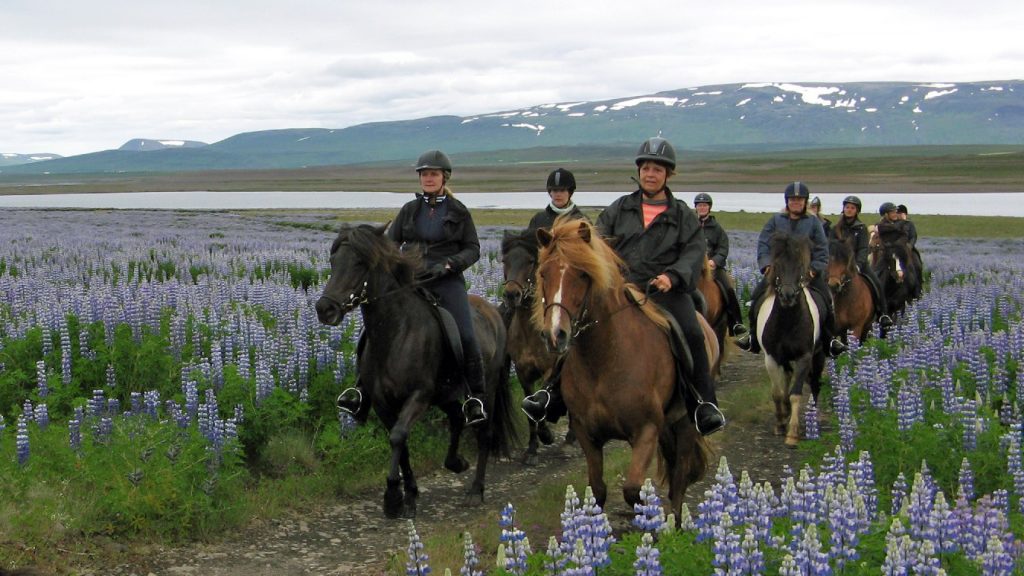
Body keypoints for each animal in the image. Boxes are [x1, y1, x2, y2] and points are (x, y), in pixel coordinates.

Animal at [311, 220, 516, 516]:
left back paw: (475, 490)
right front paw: (409, 494)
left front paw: (392, 496)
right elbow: (401, 442)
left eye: (360, 262)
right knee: (457, 418)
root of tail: (494, 312)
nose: (324, 309)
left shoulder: (418, 396)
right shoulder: (382, 403)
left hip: (485, 388)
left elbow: (398, 437)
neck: (395, 333)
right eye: (334, 260)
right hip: (445, 393)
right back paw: (455, 463)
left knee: (483, 433)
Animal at [499, 227, 565, 461]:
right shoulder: (522, 371)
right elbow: (528, 404)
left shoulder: (550, 369)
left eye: (529, 261)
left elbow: (542, 400)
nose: (511, 294)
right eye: (505, 260)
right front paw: (532, 448)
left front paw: (547, 435)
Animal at [528, 218, 712, 520]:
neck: (602, 361)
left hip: (685, 422)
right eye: (544, 274)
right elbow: (598, 490)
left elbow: (634, 490)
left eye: (583, 274)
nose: (555, 335)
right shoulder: (587, 433)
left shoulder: (646, 430)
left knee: (679, 477)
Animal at [757, 230, 827, 446]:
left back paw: (813, 416)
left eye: (800, 266)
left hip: (819, 355)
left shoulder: (805, 356)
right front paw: (780, 423)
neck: (788, 321)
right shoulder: (771, 357)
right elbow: (778, 392)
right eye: (777, 265)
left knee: (815, 384)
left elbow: (796, 393)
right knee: (786, 378)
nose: (787, 296)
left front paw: (793, 432)